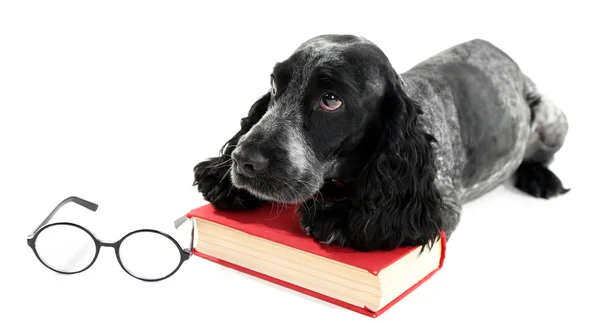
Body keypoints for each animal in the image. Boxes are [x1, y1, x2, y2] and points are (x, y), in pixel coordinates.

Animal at [195, 35, 568, 253]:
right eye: (275, 85)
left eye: (331, 100)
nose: (244, 160)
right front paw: (225, 181)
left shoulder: (442, 206)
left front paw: (336, 216)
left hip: (553, 115)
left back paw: (540, 178)